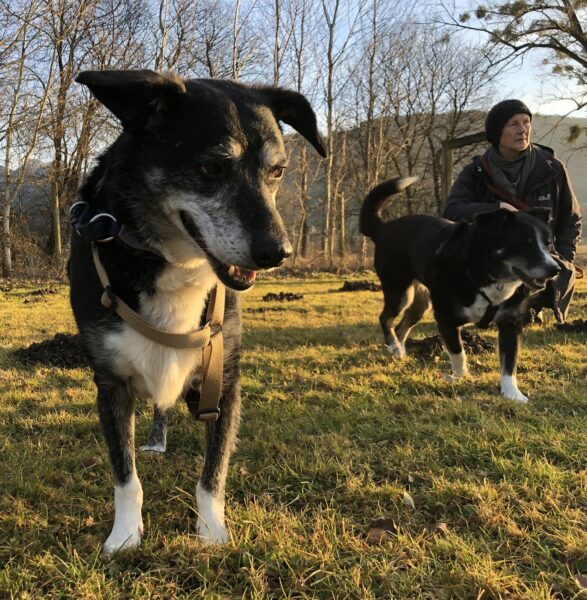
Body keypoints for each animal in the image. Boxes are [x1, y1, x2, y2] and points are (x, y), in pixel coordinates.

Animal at [69, 70, 325, 556]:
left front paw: (211, 532)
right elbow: (125, 476)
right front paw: (125, 535)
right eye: (210, 168)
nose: (277, 253)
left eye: (277, 171)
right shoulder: (110, 383)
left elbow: (213, 473)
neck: (171, 261)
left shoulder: (222, 379)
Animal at [360, 177, 560, 403]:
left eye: (548, 244)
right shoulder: (446, 318)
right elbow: (458, 352)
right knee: (386, 319)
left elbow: (509, 361)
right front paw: (461, 378)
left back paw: (400, 351)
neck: (484, 273)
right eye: (525, 243)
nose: (555, 269)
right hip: (400, 292)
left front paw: (512, 393)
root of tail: (383, 228)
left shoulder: (510, 321)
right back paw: (393, 346)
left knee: (402, 326)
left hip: (420, 303)